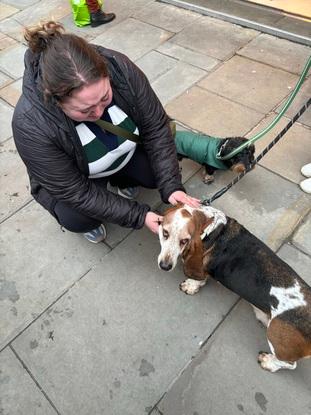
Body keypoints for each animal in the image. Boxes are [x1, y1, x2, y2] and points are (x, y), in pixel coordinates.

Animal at [158, 205, 311, 374]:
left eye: (184, 241)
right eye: (165, 233)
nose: (165, 266)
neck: (208, 224)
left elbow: (200, 279)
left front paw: (191, 285)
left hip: (275, 334)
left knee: (290, 364)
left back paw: (268, 362)